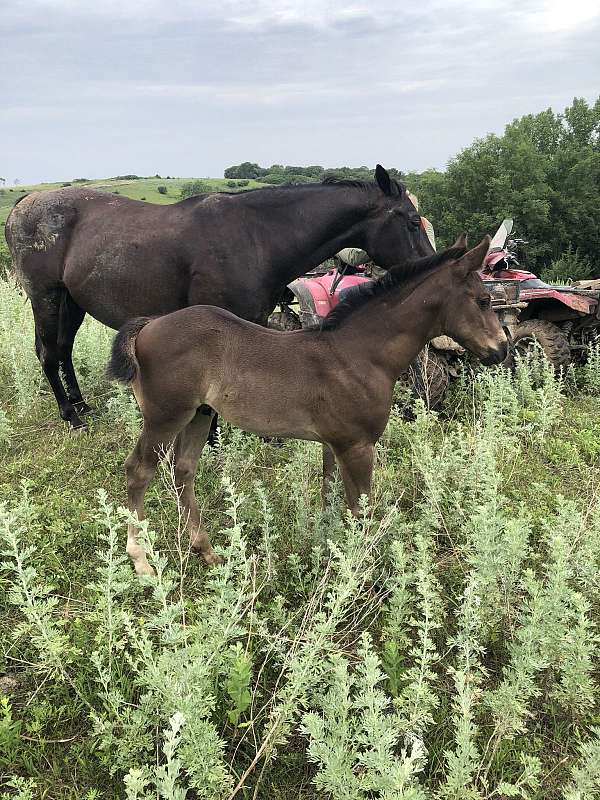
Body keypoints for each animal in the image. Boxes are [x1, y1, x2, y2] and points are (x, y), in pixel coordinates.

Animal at [4, 165, 433, 430]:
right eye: (413, 222)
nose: (432, 266)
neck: (257, 236)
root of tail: (22, 204)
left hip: (71, 301)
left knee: (62, 351)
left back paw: (81, 406)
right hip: (47, 297)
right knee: (48, 353)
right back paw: (71, 416)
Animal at [107, 236, 507, 576]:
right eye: (484, 300)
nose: (501, 349)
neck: (359, 354)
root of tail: (150, 324)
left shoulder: (335, 444)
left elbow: (330, 495)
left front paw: (326, 548)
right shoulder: (358, 445)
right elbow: (360, 507)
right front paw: (360, 570)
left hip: (199, 415)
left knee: (183, 470)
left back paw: (206, 551)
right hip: (165, 416)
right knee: (138, 470)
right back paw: (142, 562)